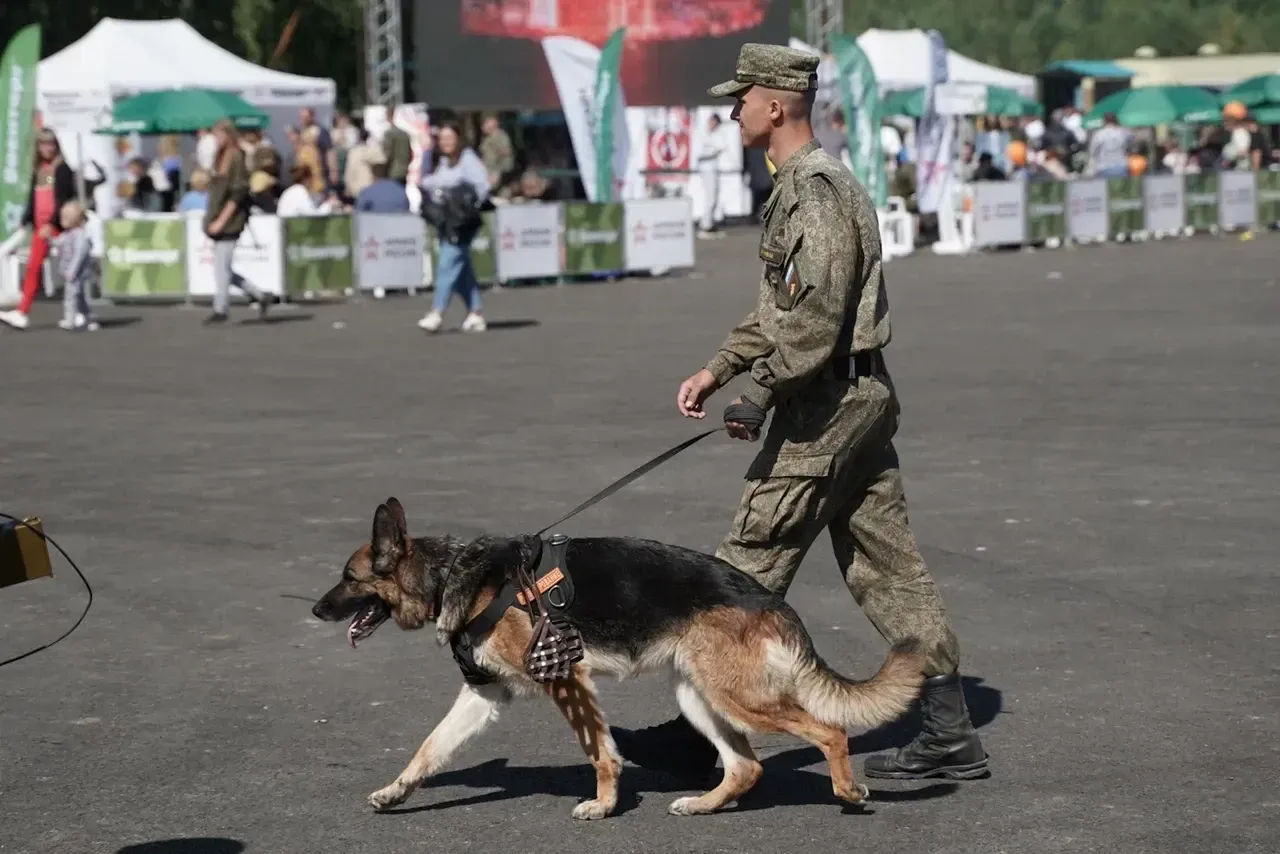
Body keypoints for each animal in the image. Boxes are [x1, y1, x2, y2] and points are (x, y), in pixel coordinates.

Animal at [314, 501, 926, 819]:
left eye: (347, 578)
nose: (316, 609)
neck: (450, 576)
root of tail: (767, 597)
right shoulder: (484, 695)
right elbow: (429, 748)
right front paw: (396, 791)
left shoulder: (567, 678)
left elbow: (600, 752)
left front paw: (605, 805)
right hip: (699, 697)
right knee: (745, 766)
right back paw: (704, 804)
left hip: (738, 698)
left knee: (830, 731)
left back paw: (847, 792)